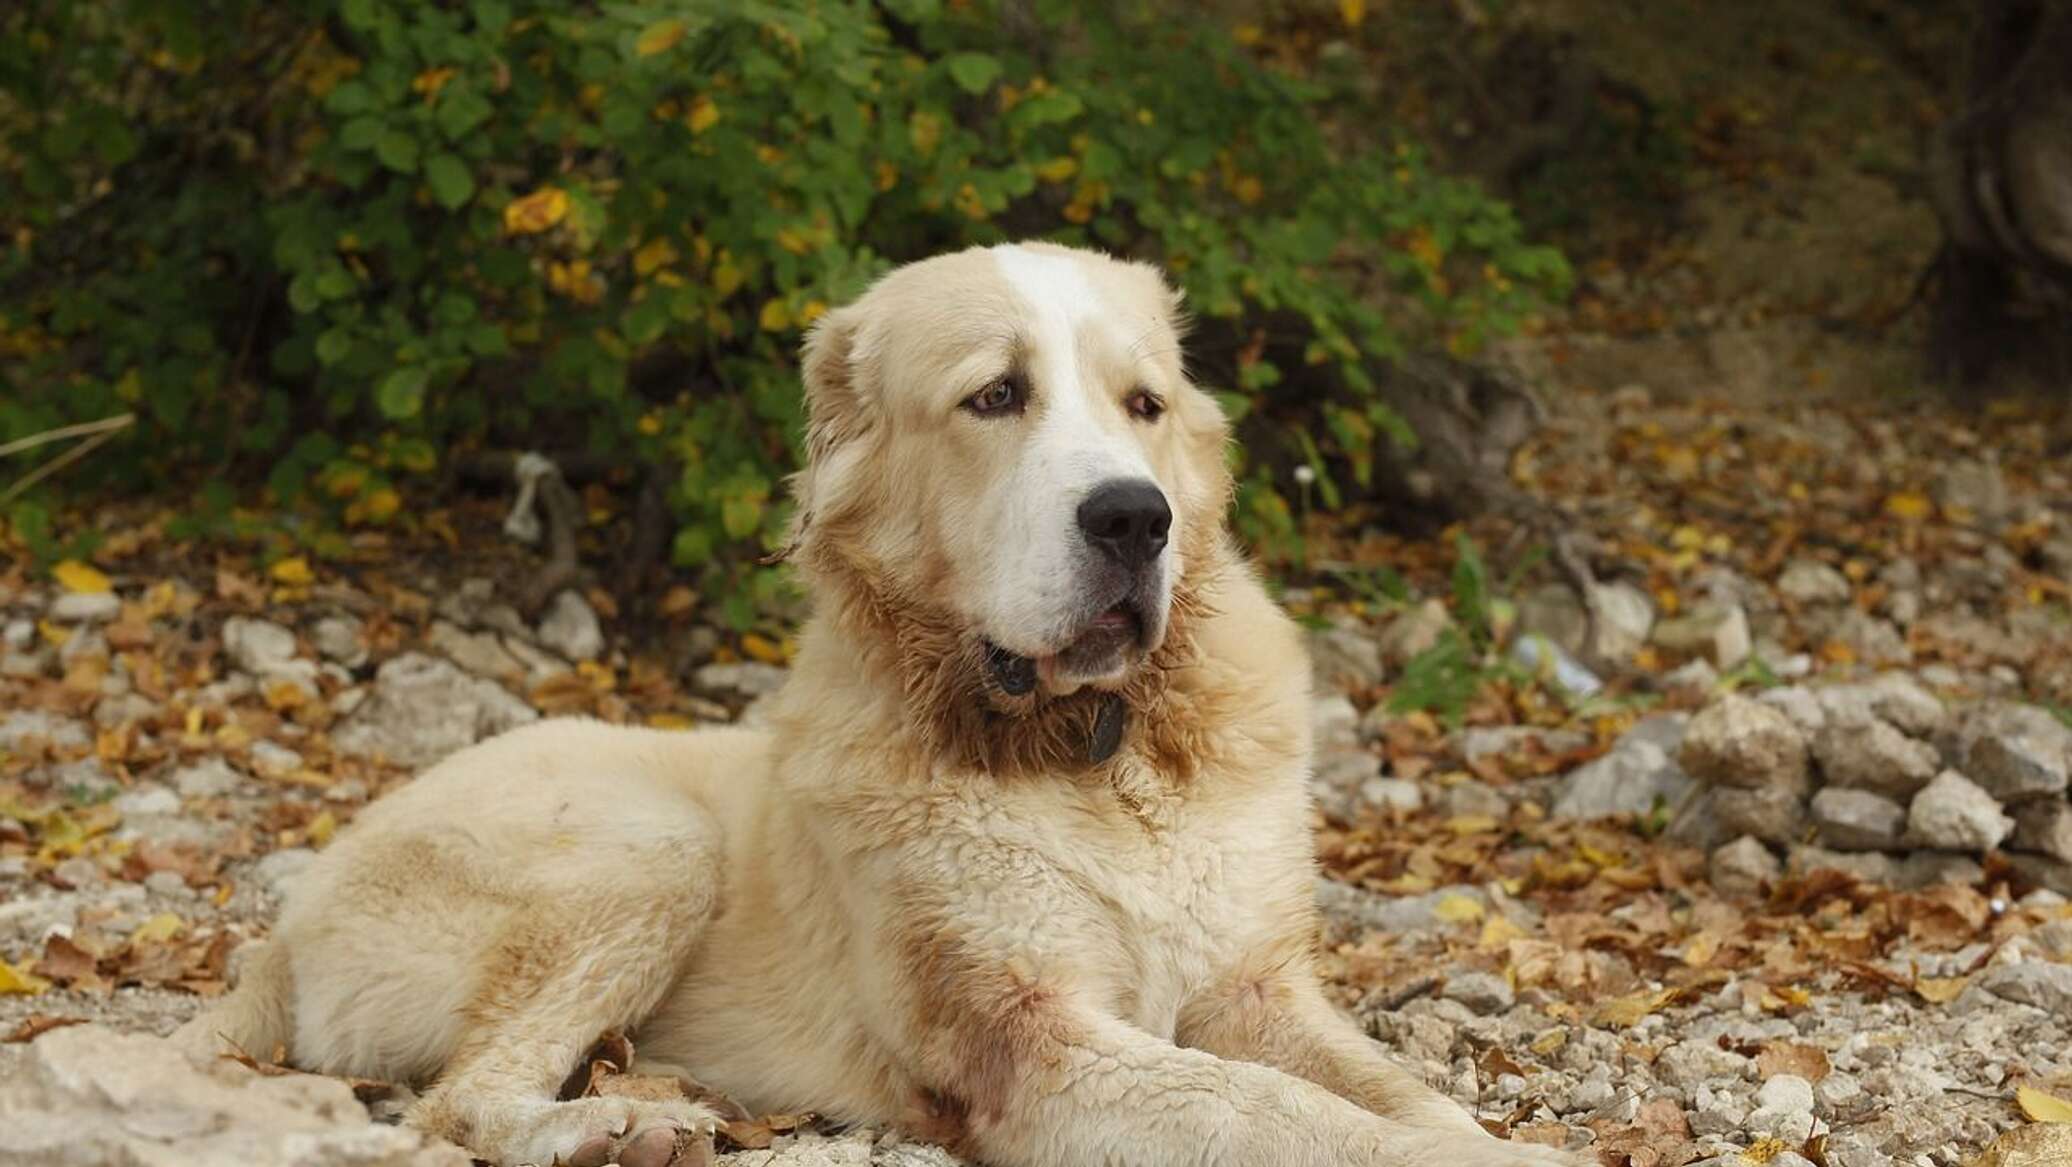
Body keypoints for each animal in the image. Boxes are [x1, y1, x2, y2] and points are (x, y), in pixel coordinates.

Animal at [182, 244, 1566, 1167]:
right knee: (458, 1098)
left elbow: (1392, 1090)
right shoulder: (1025, 1040)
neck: (1095, 753)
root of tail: (283, 928)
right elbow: (1280, 1111)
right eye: (995, 397)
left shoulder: (1259, 995)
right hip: (648, 844)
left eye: (1145, 406)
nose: (1134, 518)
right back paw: (615, 1126)